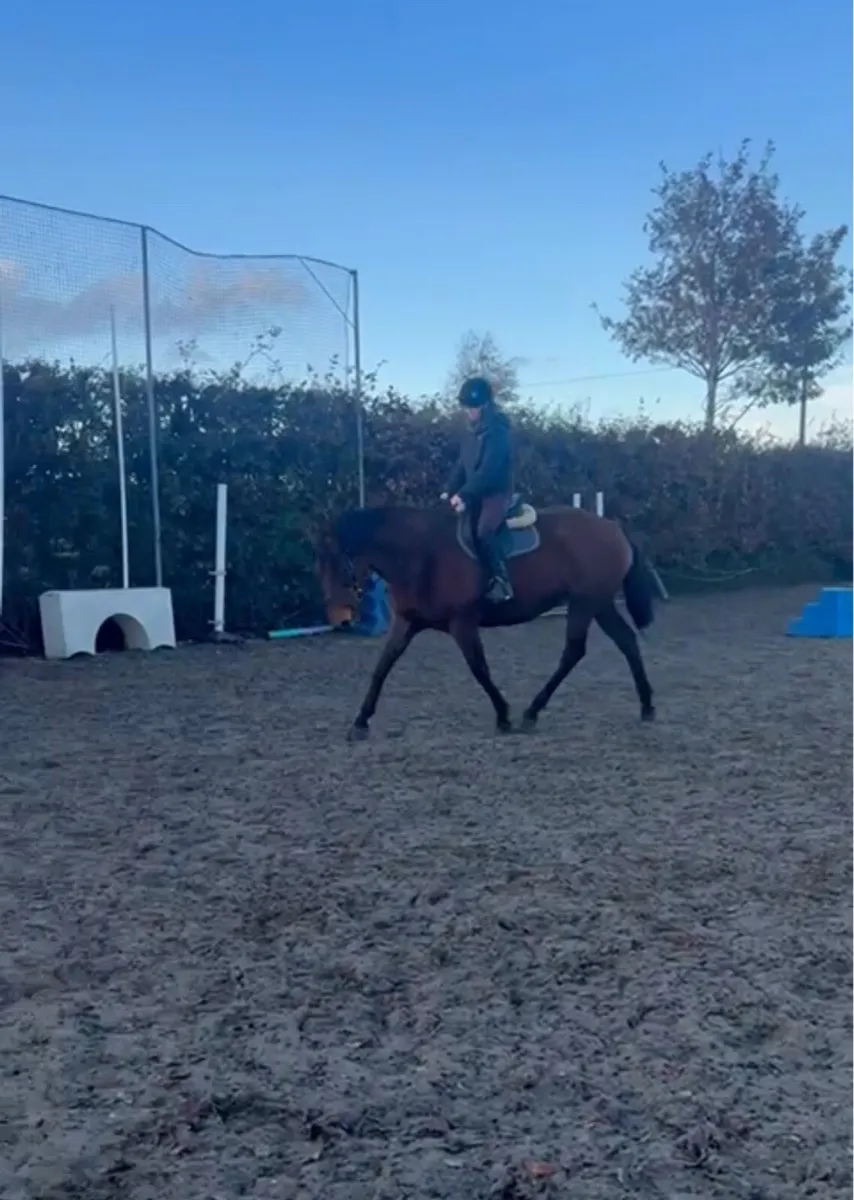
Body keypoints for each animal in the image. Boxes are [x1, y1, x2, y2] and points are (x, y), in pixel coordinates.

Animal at [316, 497, 658, 742]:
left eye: (338, 560)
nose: (339, 619)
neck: (421, 553)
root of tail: (612, 527)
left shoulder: (462, 622)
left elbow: (479, 668)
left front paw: (504, 716)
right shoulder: (406, 622)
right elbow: (382, 667)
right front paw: (360, 722)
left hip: (585, 604)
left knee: (574, 651)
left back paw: (532, 712)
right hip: (599, 604)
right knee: (626, 641)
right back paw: (647, 706)